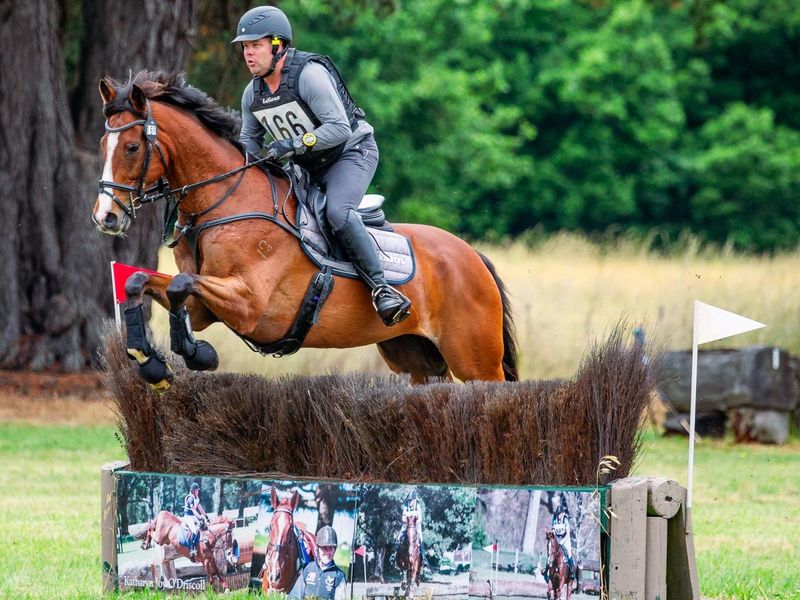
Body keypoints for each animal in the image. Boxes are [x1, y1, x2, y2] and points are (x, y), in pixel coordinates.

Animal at [91, 71, 519, 390]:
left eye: (131, 147)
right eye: (101, 146)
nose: (105, 217)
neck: (222, 202)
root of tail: (472, 255)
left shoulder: (249, 304)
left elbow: (180, 284)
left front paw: (196, 354)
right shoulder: (204, 306)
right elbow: (143, 282)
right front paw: (150, 363)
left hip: (476, 361)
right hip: (415, 358)